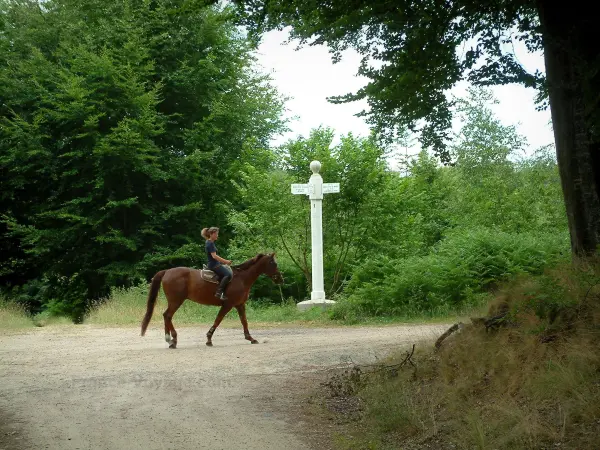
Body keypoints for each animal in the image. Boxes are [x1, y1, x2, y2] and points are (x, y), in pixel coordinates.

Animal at [141, 253, 284, 348]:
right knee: (167, 315)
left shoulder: (240, 305)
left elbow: (244, 321)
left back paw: (170, 340)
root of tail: (167, 272)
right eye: (273, 263)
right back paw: (172, 339)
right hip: (176, 301)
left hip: (174, 302)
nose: (280, 279)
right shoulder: (228, 305)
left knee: (167, 316)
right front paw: (209, 339)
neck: (241, 278)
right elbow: (218, 319)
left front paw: (250, 338)